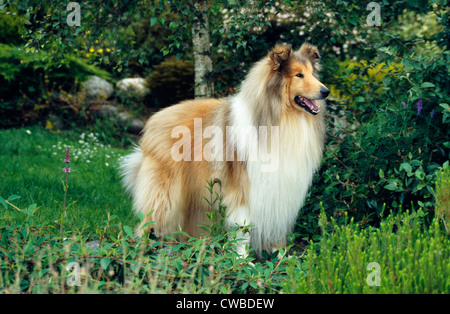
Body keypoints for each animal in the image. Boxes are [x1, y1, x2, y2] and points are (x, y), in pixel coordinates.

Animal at [121, 43, 328, 256]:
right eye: (299, 75)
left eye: (312, 73)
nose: (326, 91)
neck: (281, 118)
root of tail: (153, 120)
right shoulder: (245, 190)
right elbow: (243, 228)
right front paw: (243, 260)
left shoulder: (280, 189)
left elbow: (277, 228)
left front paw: (282, 258)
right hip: (165, 196)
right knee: (145, 225)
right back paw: (138, 256)